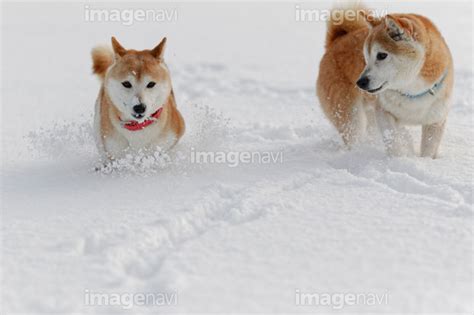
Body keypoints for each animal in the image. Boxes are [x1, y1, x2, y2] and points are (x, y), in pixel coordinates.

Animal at [316, 4, 454, 158]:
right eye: (366, 57)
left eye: (381, 55)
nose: (360, 82)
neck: (411, 91)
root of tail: (336, 40)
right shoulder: (383, 112)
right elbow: (393, 139)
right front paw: (397, 158)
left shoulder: (435, 120)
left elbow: (428, 148)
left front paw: (424, 160)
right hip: (350, 115)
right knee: (353, 134)